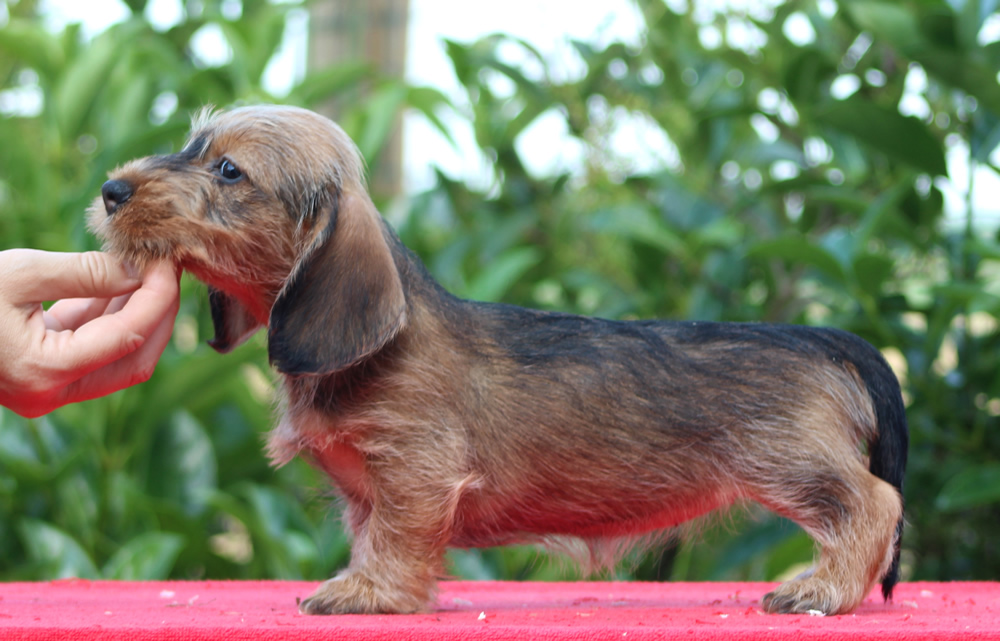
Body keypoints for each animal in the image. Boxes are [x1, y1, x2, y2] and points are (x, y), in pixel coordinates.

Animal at [90, 105, 912, 616]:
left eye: (229, 172)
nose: (110, 188)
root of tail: (824, 340)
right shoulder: (368, 491)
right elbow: (373, 533)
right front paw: (372, 583)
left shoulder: (414, 470)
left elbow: (397, 534)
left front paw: (369, 593)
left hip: (792, 462)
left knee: (874, 504)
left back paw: (824, 589)